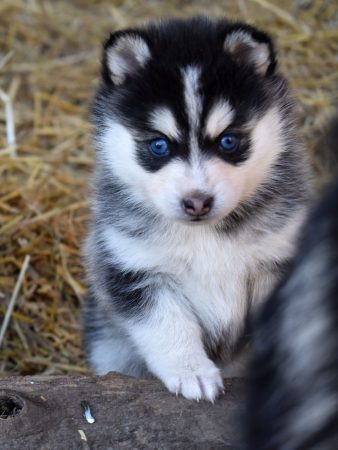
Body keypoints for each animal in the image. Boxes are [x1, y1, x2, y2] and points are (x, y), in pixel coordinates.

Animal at [84, 16, 312, 400]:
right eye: (159, 145)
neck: (205, 235)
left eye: (229, 140)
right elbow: (168, 326)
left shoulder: (278, 259)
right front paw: (191, 371)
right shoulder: (133, 267)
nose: (197, 201)